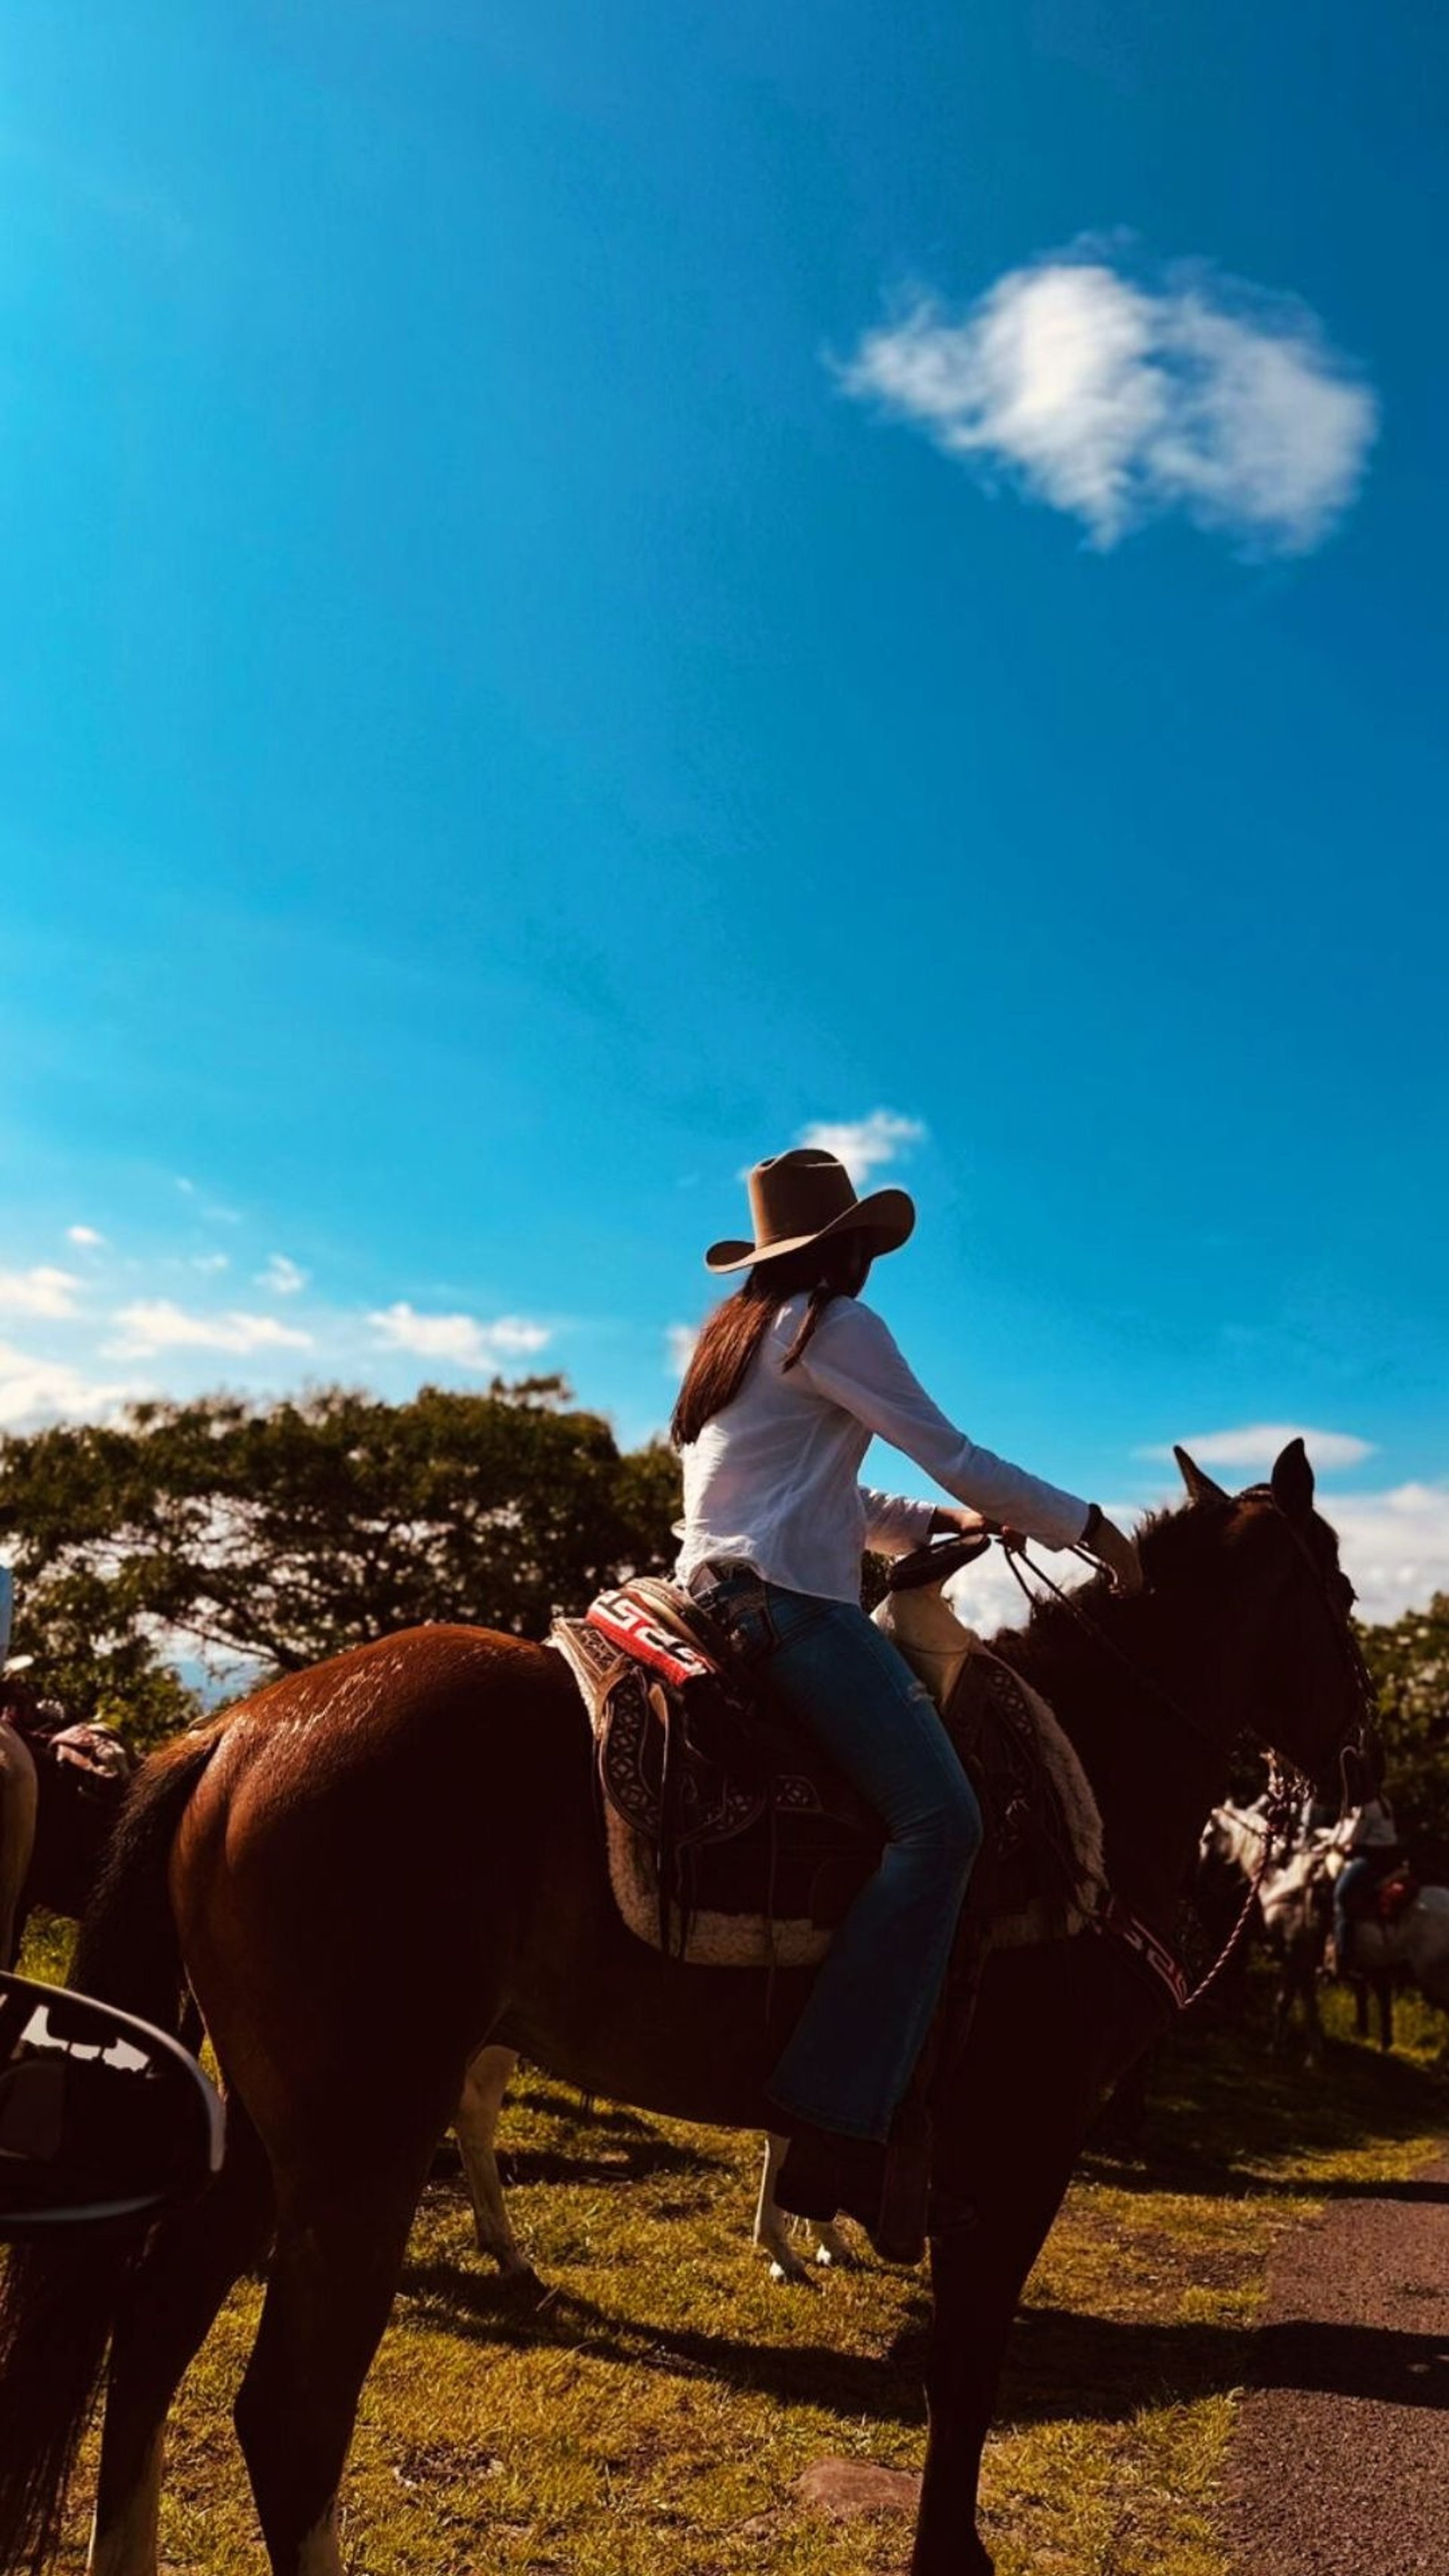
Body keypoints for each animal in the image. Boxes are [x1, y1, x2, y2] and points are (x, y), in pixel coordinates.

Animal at [0, 1440, 1366, 2576]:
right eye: (1345, 1596)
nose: (1359, 1761)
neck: (1090, 1771)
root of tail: (236, 1732)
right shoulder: (1021, 2151)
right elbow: (967, 2374)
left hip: (270, 2124)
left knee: (153, 2330)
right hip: (361, 2143)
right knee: (290, 2415)